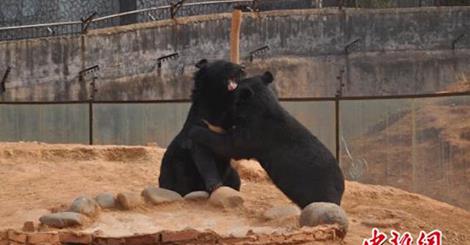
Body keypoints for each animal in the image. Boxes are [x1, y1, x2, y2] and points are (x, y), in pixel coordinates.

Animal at [159, 59, 246, 197]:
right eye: (226, 64)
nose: (243, 67)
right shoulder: (198, 126)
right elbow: (203, 156)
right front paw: (215, 185)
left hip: (231, 173)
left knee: (235, 180)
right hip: (177, 168)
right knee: (179, 183)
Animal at [189, 72, 346, 208]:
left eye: (230, 99)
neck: (259, 107)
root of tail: (340, 188)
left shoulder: (256, 133)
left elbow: (232, 145)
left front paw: (196, 130)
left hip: (317, 187)